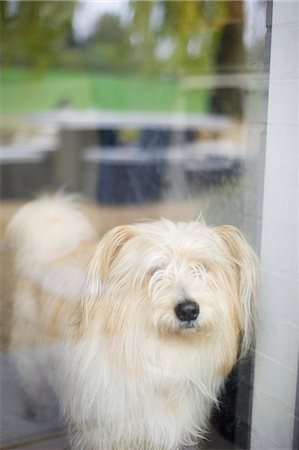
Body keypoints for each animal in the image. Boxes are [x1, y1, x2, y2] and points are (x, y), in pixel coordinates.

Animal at [7, 195, 260, 448]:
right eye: (154, 270)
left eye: (202, 267)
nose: (188, 310)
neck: (160, 351)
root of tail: (55, 251)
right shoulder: (104, 429)